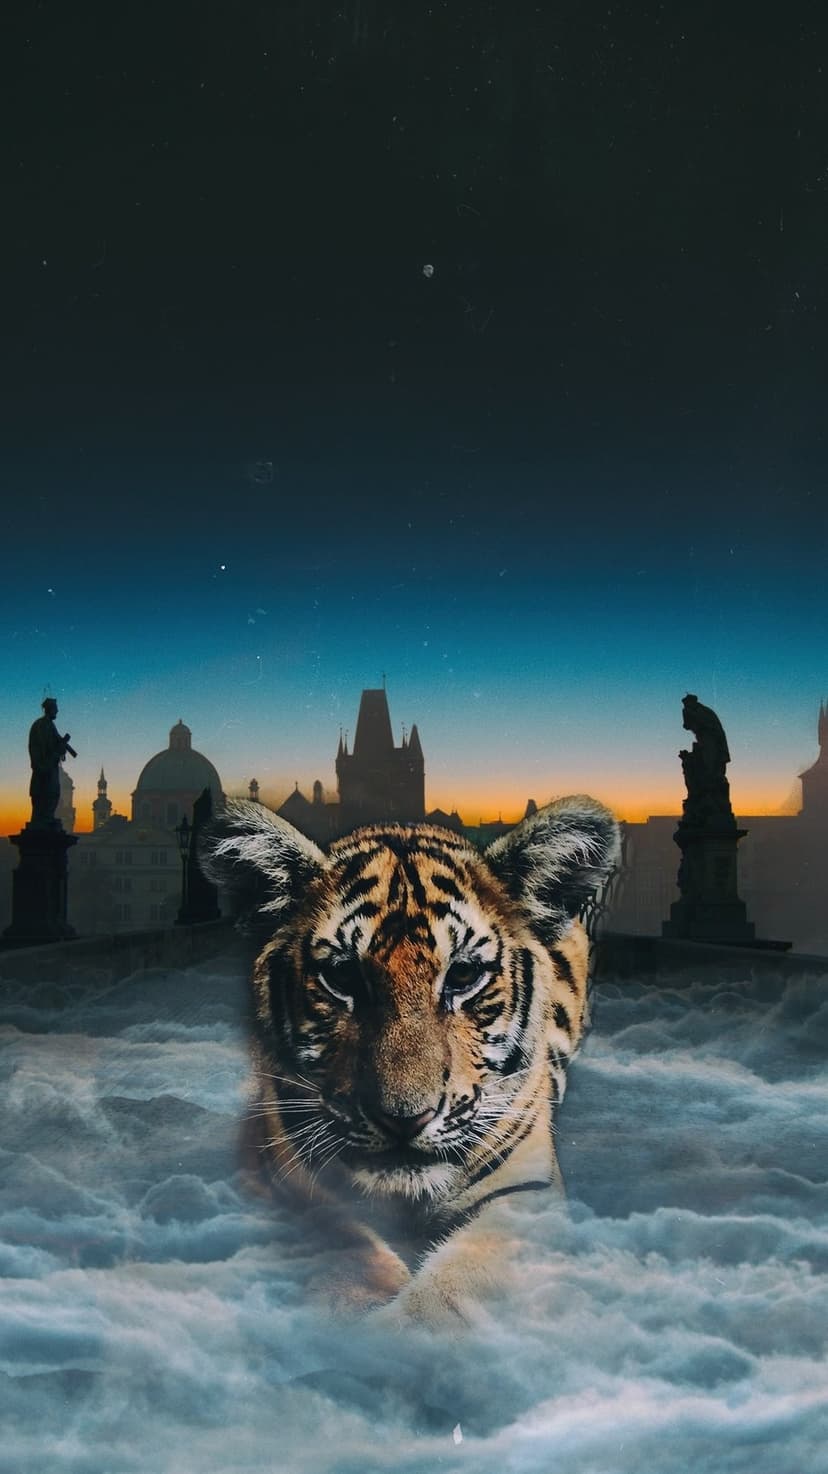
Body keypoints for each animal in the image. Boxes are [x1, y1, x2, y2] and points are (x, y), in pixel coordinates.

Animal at [198, 794, 620, 1325]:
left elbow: (456, 1289)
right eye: (343, 977)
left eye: (463, 975)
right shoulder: (285, 1173)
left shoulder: (524, 1190)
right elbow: (344, 1243)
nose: (404, 1119)